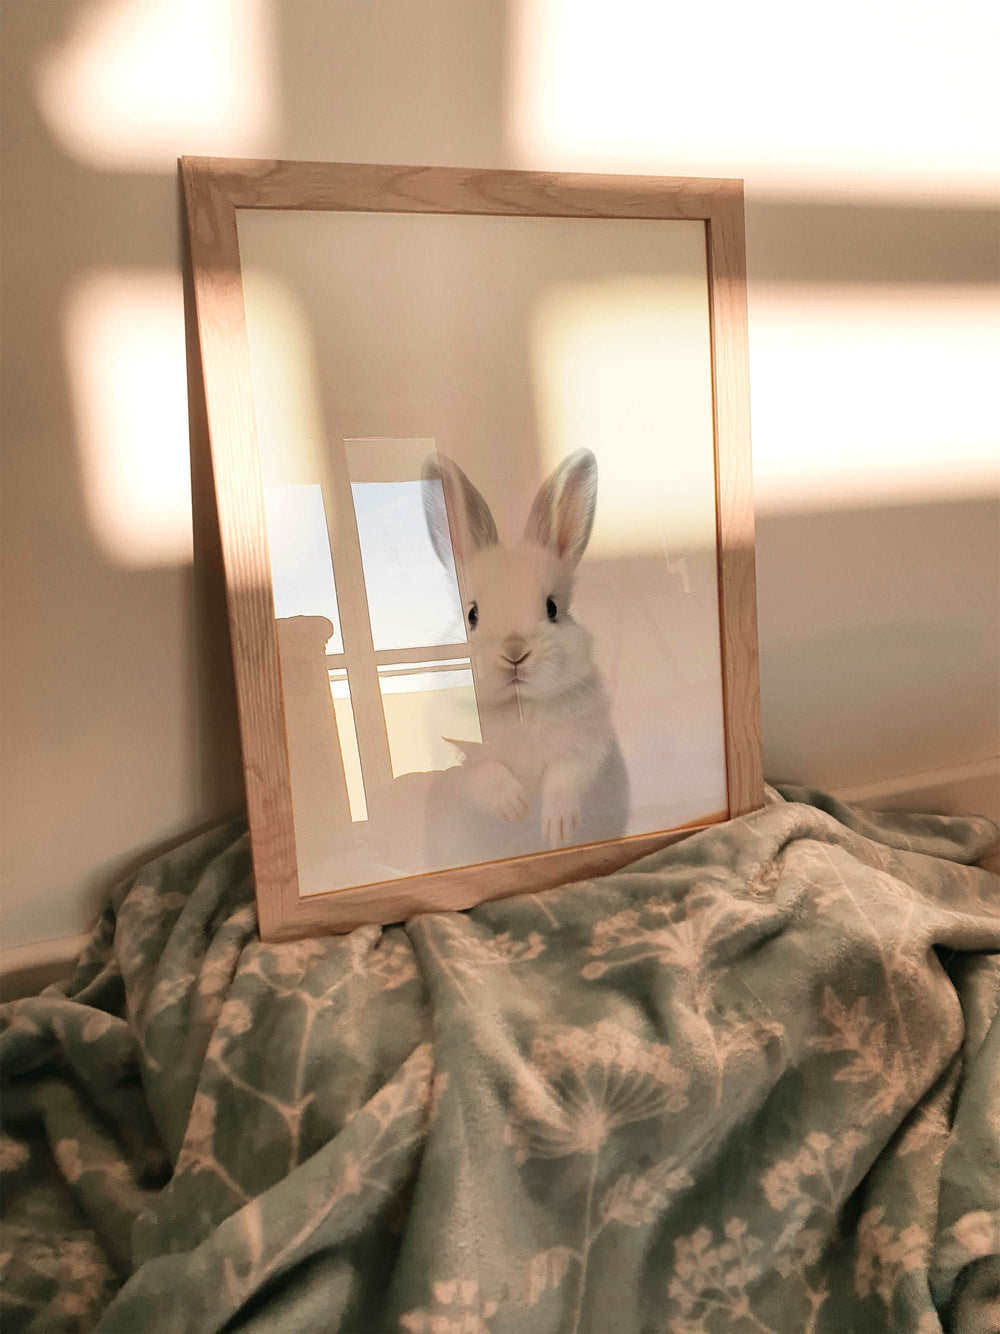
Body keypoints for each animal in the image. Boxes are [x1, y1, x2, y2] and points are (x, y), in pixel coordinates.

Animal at [421, 442, 626, 848]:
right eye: (472, 615)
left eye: (552, 608)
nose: (514, 652)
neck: (518, 707)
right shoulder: (456, 756)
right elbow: (483, 773)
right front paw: (514, 808)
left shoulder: (584, 747)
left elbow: (565, 777)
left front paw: (556, 829)